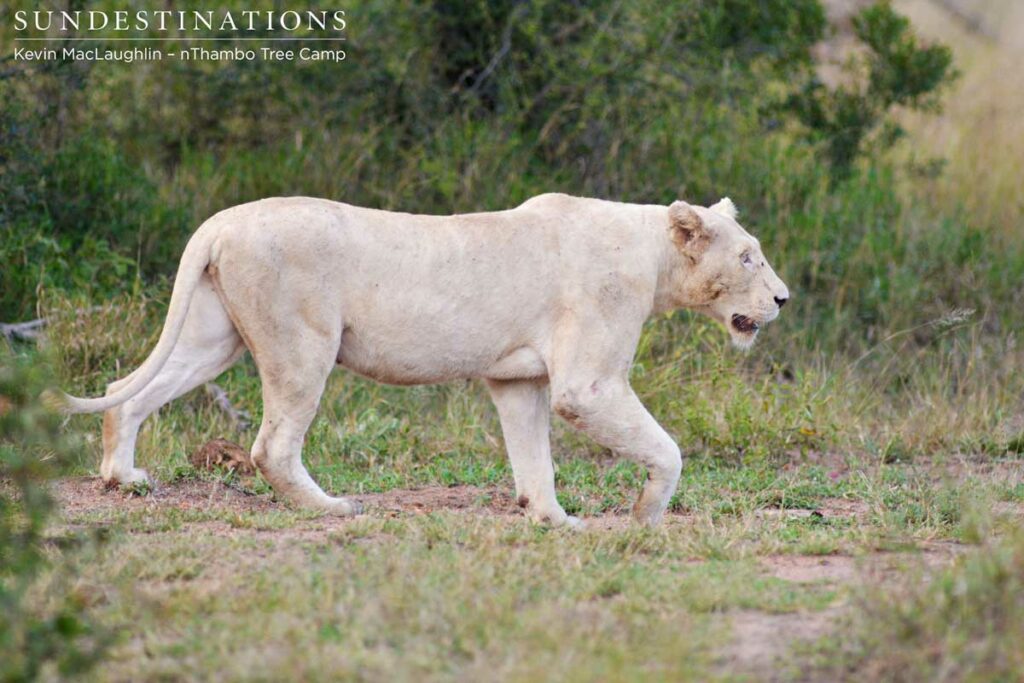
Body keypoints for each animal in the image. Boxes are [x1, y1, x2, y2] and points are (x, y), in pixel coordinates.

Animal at [57, 194, 789, 527]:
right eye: (749, 257)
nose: (782, 297)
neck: (654, 257)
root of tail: (218, 223)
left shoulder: (517, 378)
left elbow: (534, 456)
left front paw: (552, 519)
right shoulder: (586, 383)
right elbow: (667, 448)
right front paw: (645, 514)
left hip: (212, 338)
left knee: (127, 389)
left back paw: (124, 479)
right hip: (303, 343)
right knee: (271, 446)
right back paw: (333, 507)